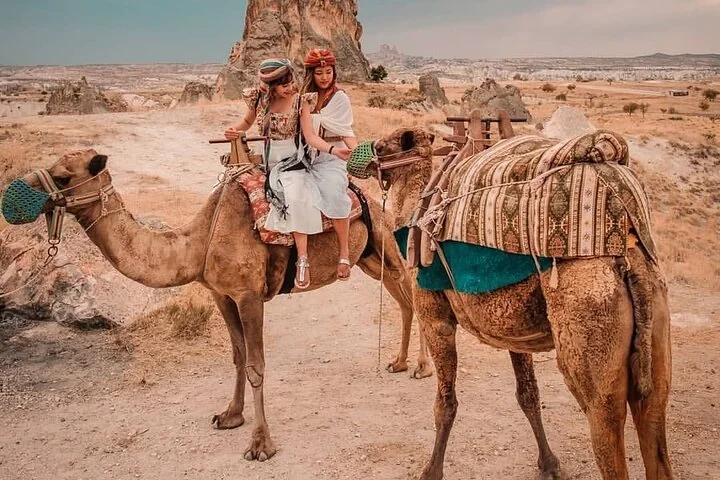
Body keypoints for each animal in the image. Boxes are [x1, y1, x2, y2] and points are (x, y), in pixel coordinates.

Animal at [4, 149, 433, 461]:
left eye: (63, 176)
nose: (12, 196)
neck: (200, 241)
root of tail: (369, 193)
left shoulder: (248, 295)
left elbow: (257, 365)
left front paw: (260, 444)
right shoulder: (220, 294)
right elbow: (238, 355)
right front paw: (230, 415)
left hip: (384, 239)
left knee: (412, 289)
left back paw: (422, 369)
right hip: (367, 258)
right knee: (402, 298)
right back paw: (398, 362)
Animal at [366, 127, 673, 480]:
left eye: (382, 147)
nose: (360, 159)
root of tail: (630, 253)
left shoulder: (434, 315)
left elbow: (445, 403)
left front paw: (431, 471)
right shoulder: (514, 331)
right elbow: (528, 394)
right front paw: (549, 464)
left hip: (589, 317)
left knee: (605, 422)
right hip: (655, 319)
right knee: (652, 415)